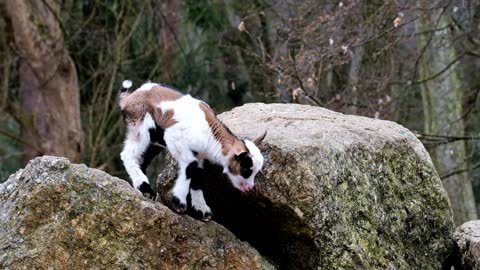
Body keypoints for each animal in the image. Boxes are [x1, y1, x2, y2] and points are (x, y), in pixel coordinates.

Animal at [117, 81, 264, 220]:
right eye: (246, 169)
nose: (250, 187)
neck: (210, 133)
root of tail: (130, 98)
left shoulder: (198, 155)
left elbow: (197, 176)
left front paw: (202, 211)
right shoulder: (174, 138)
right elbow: (191, 167)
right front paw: (179, 203)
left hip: (154, 139)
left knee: (142, 159)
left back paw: (144, 190)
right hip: (142, 124)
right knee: (127, 154)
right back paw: (145, 189)